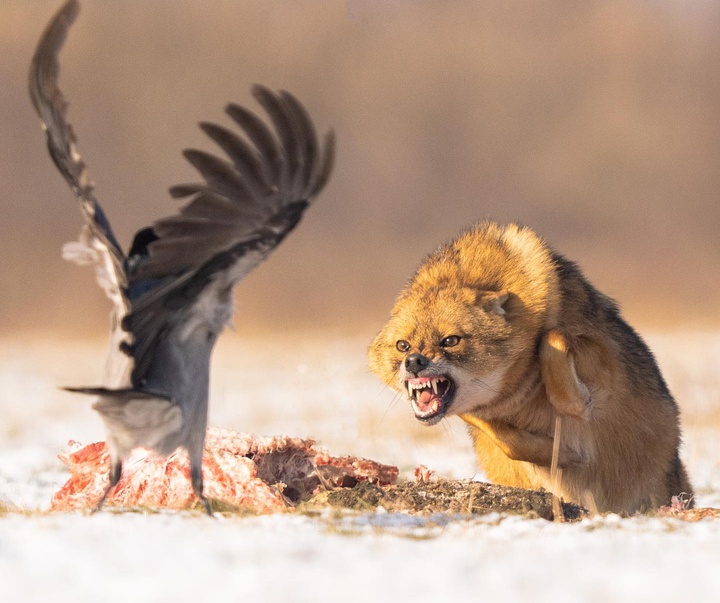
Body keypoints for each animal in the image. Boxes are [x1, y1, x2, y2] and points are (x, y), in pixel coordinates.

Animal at [368, 222, 696, 516]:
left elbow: (551, 339)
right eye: (403, 346)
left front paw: (574, 419)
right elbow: (504, 438)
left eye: (450, 340)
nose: (414, 362)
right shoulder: (482, 413)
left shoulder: (599, 364)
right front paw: (564, 454)